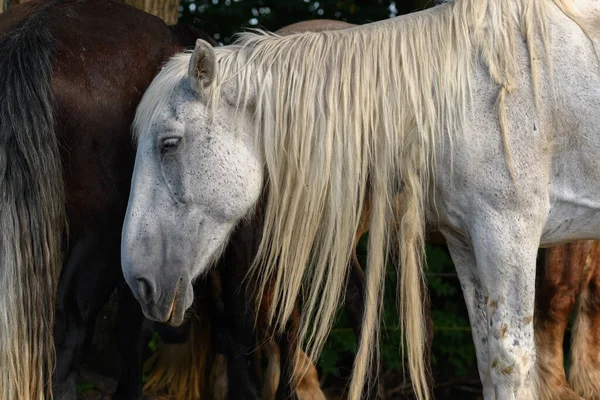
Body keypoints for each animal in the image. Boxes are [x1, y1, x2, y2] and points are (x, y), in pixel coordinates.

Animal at [122, 1, 600, 398]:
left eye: (169, 143)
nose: (139, 281)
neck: (469, 93)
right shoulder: (468, 241)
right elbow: (489, 363)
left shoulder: (509, 235)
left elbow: (511, 365)